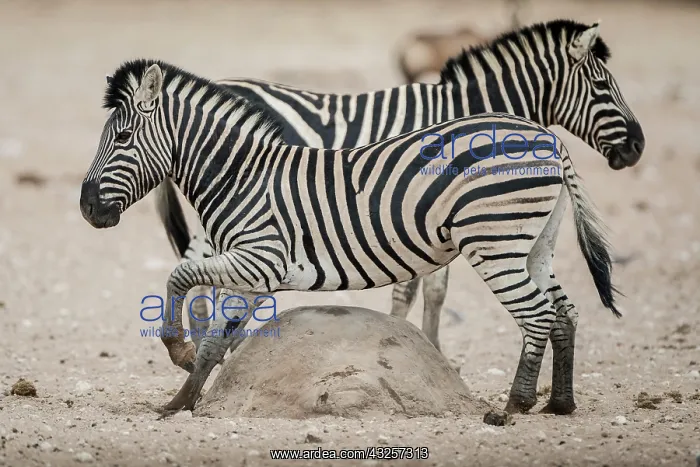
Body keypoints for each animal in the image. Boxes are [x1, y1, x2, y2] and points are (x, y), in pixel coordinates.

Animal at [81, 59, 622, 416]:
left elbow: (179, 276)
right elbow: (216, 340)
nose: (87, 208)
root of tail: (546, 135)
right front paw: (181, 402)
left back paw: (512, 406)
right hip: (533, 244)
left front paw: (177, 350)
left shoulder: (258, 259)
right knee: (565, 312)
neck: (242, 175)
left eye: (123, 138)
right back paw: (559, 403)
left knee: (538, 315)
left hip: (495, 243)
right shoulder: (252, 275)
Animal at [155, 19, 645, 354]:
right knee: (197, 265)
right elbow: (420, 287)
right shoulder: (422, 204)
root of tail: (220, 83)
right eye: (602, 86)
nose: (637, 148)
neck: (468, 110)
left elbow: (431, 289)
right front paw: (421, 344)